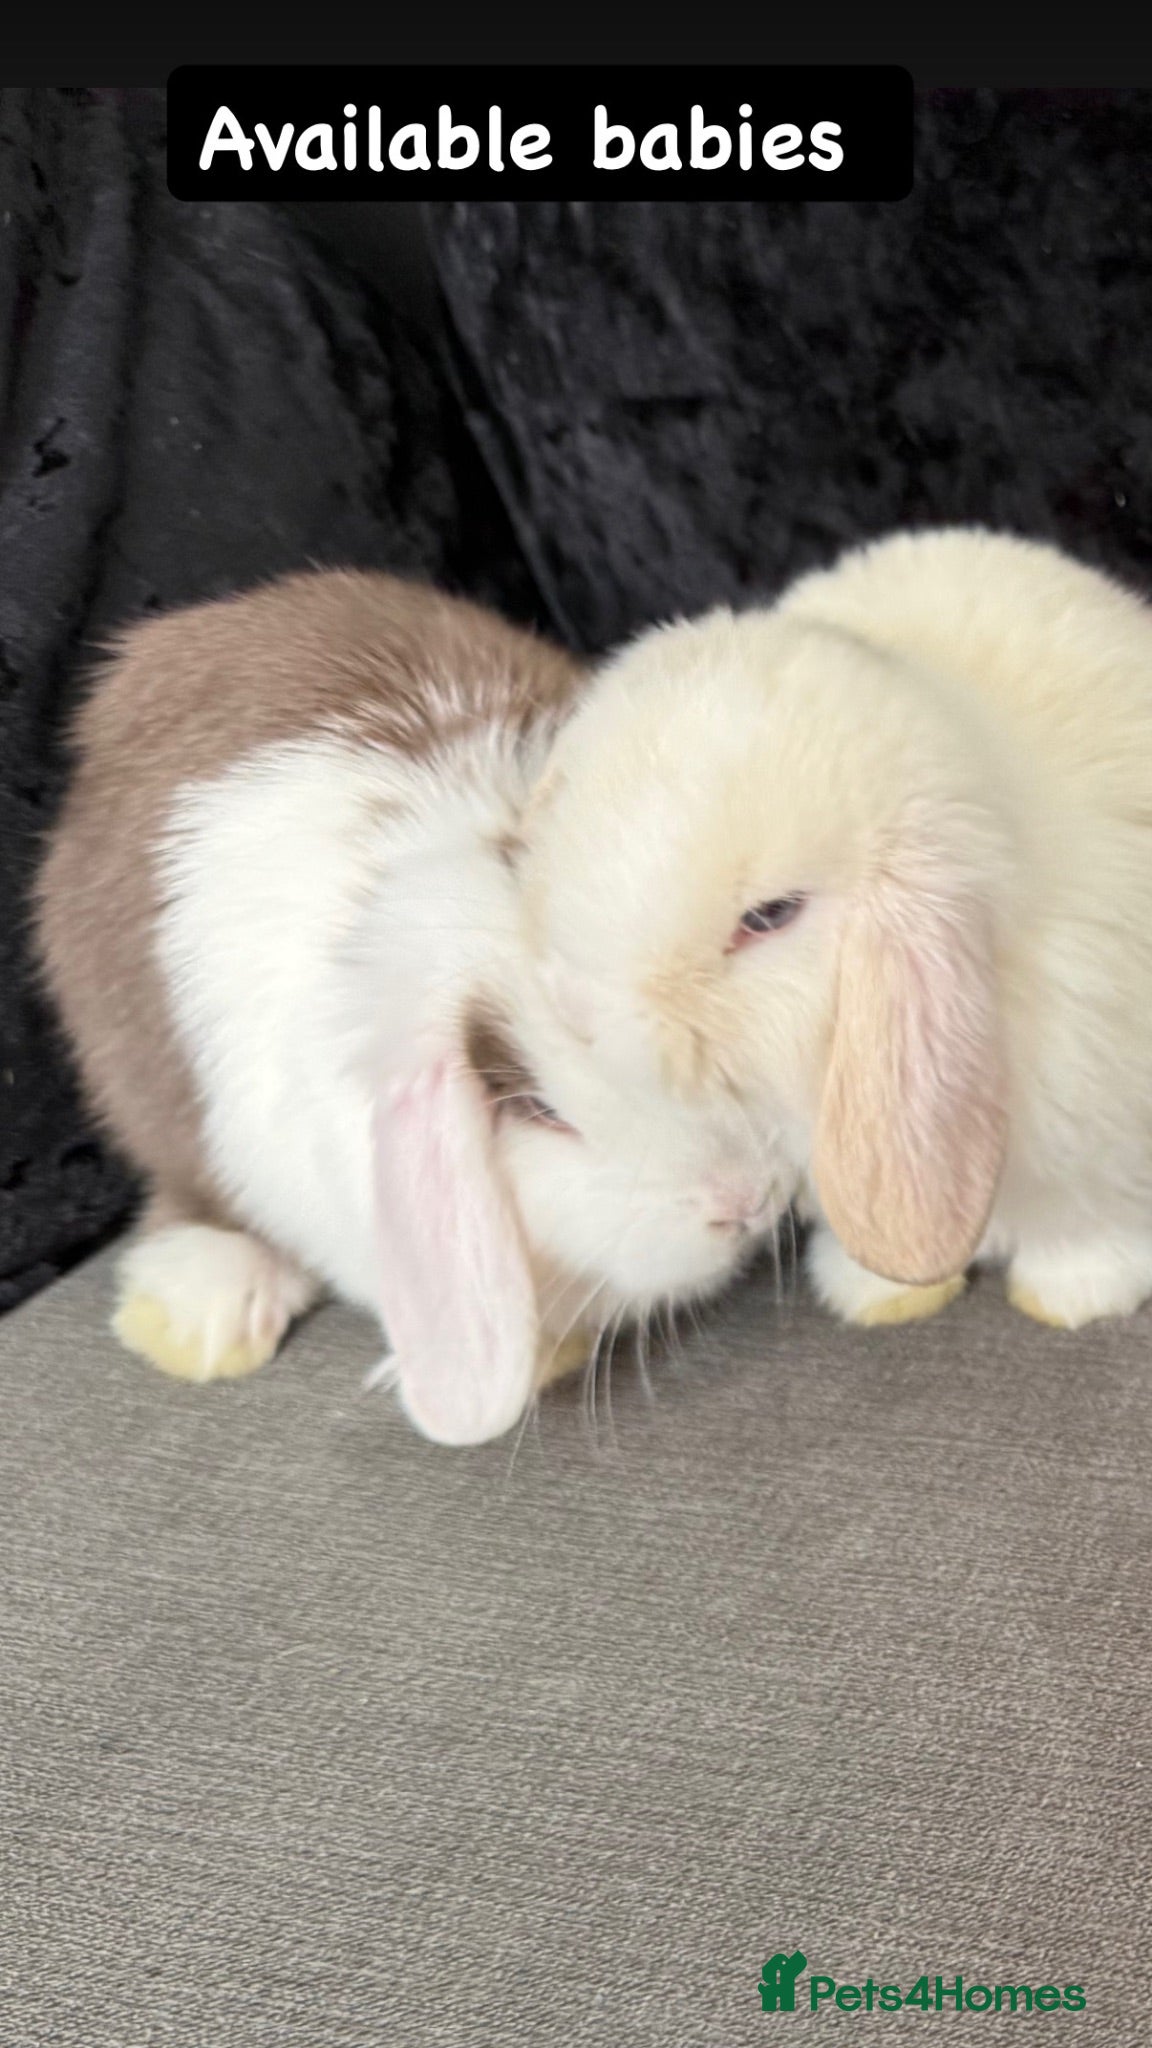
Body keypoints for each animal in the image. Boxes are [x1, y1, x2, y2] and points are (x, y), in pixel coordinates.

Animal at [514, 525, 1152, 1334]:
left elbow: (1087, 1229)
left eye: (769, 917)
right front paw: (877, 1298)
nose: (580, 1011)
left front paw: (1073, 1298)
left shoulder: (1106, 1154)